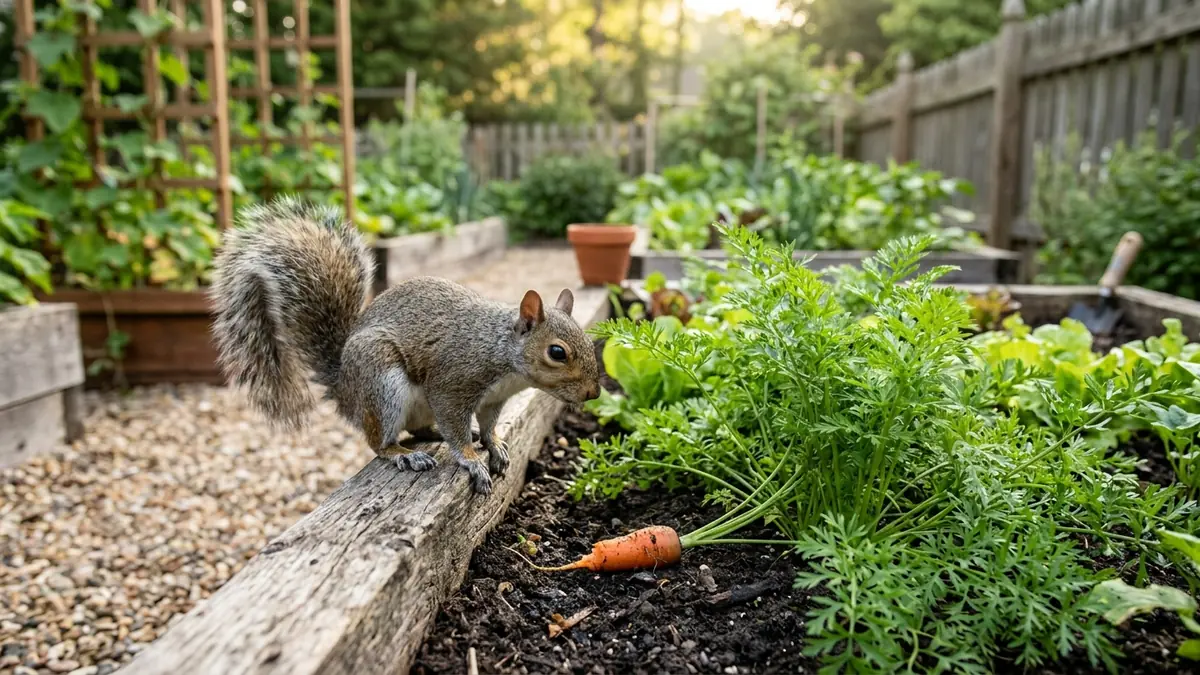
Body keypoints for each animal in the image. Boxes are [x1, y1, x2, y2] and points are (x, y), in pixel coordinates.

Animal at [209, 196, 601, 495]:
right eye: (557, 352)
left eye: (585, 339)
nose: (594, 393)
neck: (502, 352)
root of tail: (345, 389)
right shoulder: (453, 383)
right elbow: (455, 426)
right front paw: (472, 461)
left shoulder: (493, 400)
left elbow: (489, 425)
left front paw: (493, 444)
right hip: (382, 383)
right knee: (379, 442)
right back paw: (403, 454)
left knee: (419, 430)